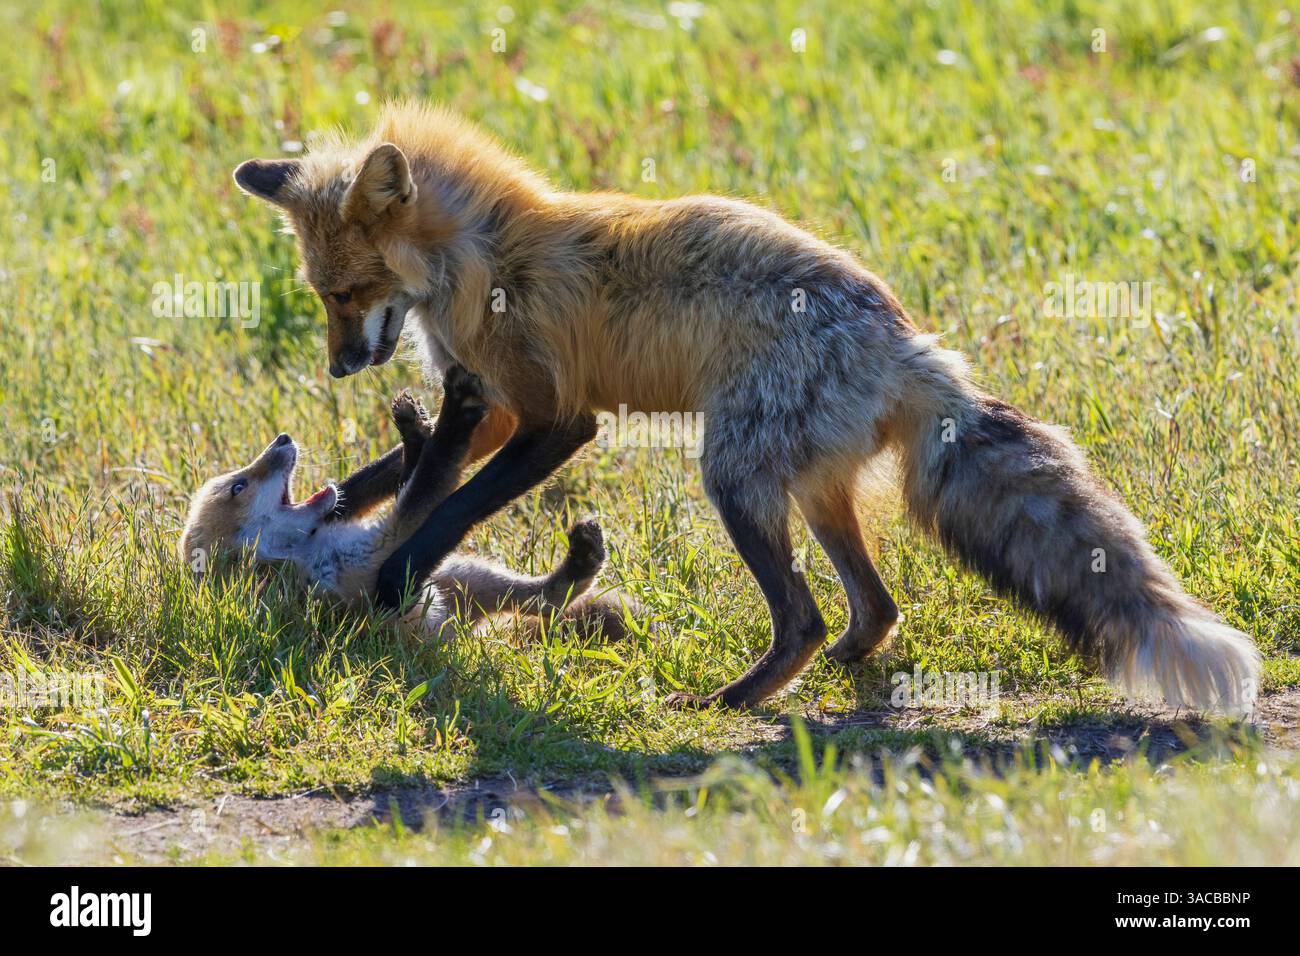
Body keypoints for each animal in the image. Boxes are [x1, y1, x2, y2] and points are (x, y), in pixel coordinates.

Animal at [180, 366, 627, 639]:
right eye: (239, 487)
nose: (283, 439)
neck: (308, 555)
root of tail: (458, 635)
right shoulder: (378, 554)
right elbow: (428, 480)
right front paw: (454, 416)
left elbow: (410, 476)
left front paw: (414, 431)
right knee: (550, 600)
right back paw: (584, 558)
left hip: (460, 574)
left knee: (545, 598)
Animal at [232, 101, 1259, 714]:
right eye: (320, 293)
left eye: (348, 292)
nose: (336, 370)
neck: (480, 261)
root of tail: (910, 341)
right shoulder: (490, 405)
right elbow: (399, 474)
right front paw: (350, 507)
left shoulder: (557, 417)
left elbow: (451, 509)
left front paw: (397, 577)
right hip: (809, 491)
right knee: (875, 606)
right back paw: (841, 667)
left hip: (732, 475)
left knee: (802, 614)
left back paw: (731, 702)